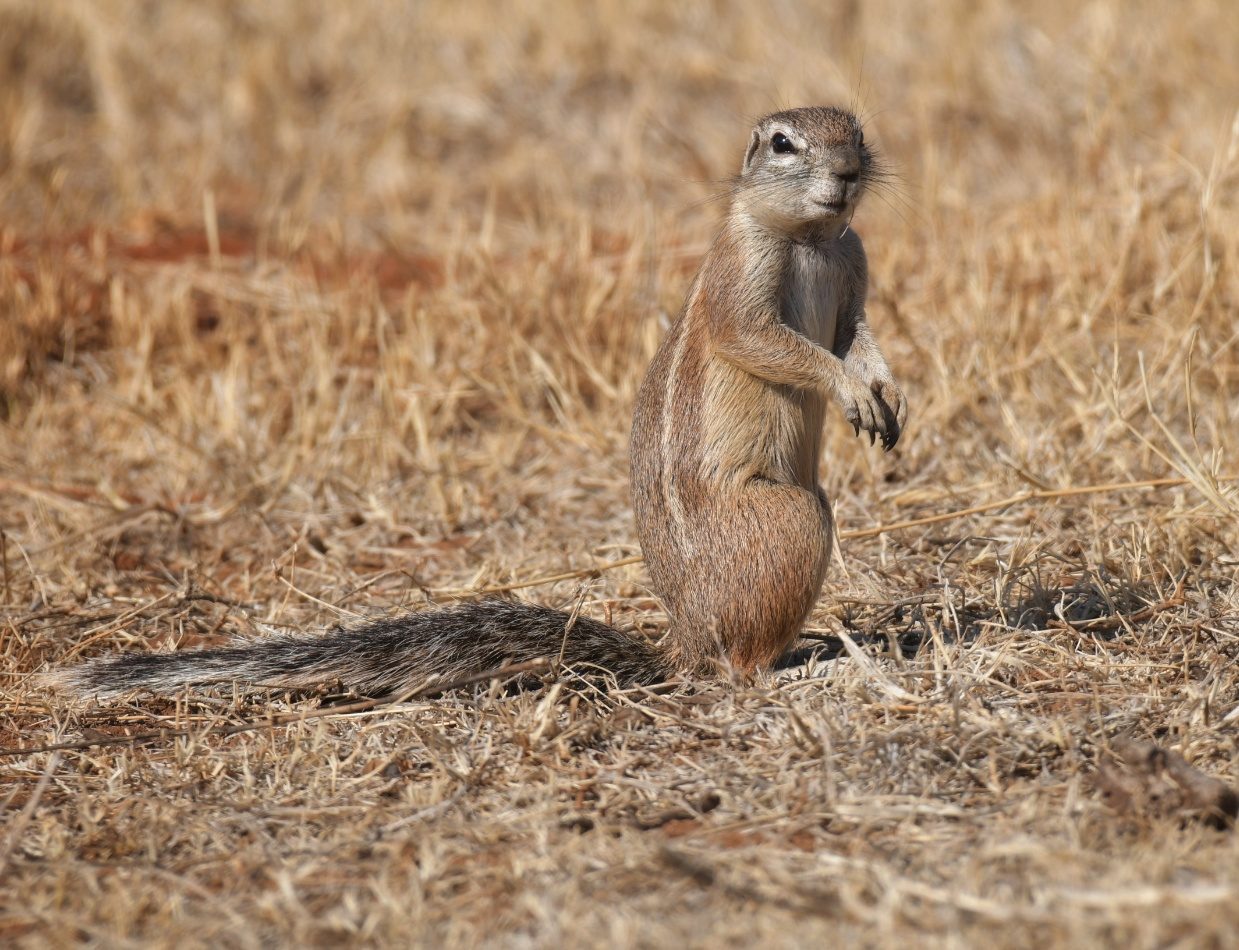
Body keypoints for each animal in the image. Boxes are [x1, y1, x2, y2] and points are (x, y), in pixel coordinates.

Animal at [47, 106, 906, 700]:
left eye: (856, 132)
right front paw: (847, 389)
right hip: (790, 520)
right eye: (782, 143)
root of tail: (682, 639)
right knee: (735, 666)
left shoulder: (856, 268)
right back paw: (801, 667)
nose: (846, 171)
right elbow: (767, 341)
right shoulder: (739, 285)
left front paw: (887, 392)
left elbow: (857, 334)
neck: (810, 239)